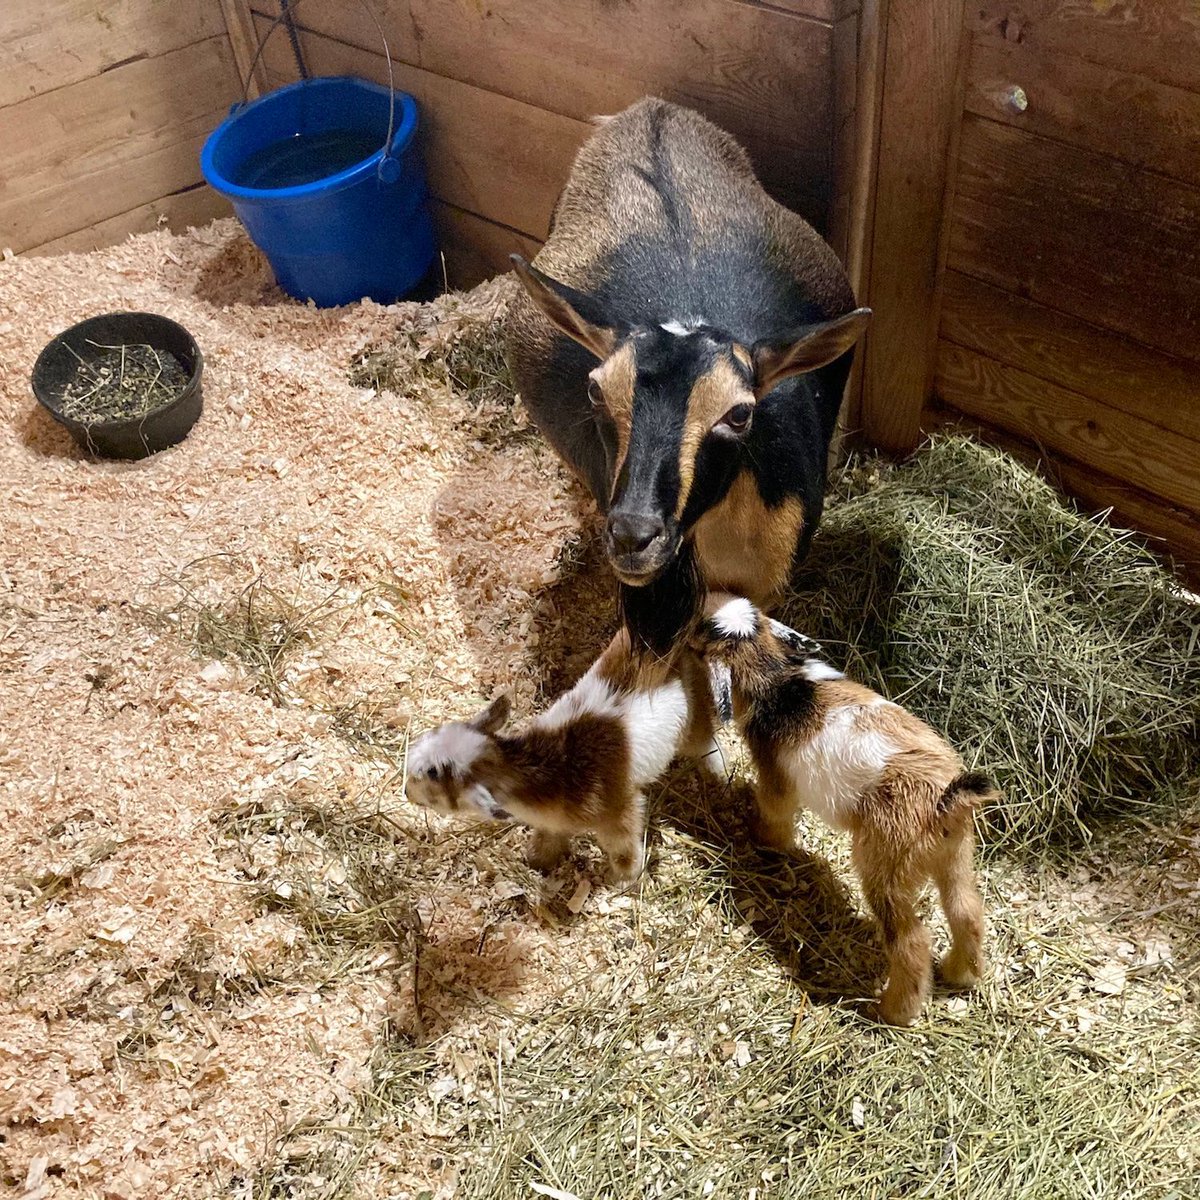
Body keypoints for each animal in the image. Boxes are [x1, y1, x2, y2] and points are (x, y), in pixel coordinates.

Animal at [404, 629, 720, 881]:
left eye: (433, 773)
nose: (407, 792)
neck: (555, 770)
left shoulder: (620, 811)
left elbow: (624, 850)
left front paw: (625, 881)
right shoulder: (553, 820)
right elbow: (549, 839)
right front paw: (537, 862)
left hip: (693, 712)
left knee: (704, 740)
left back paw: (717, 770)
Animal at [694, 594, 993, 1026]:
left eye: (704, 629)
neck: (780, 682)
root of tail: (943, 800)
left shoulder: (775, 777)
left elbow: (775, 812)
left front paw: (764, 841)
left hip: (885, 870)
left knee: (911, 942)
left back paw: (892, 1011)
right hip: (955, 856)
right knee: (965, 911)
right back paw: (960, 974)